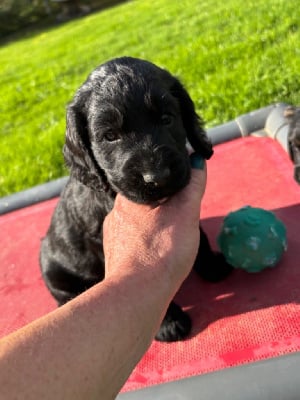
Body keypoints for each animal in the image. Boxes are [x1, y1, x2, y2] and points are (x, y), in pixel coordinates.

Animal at [39, 57, 232, 342]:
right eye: (110, 136)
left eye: (167, 119)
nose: (158, 177)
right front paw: (169, 323)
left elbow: (200, 238)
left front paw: (213, 265)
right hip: (54, 271)